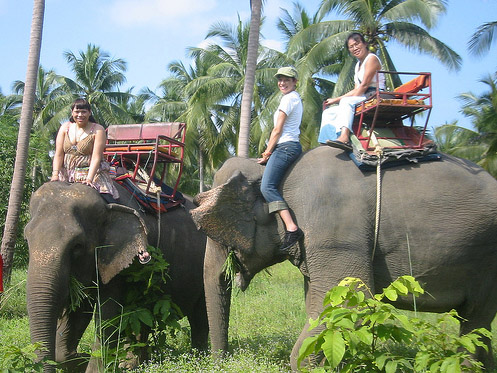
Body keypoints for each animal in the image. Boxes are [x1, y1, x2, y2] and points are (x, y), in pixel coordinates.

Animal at [24, 179, 207, 370]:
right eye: (26, 239)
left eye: (77, 246)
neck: (106, 204)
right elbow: (80, 312)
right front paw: (79, 358)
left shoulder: (120, 262)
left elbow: (108, 317)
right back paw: (133, 364)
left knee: (200, 316)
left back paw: (198, 358)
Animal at [191, 146, 497, 370]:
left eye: (215, 234)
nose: (222, 362)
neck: (272, 173)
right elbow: (321, 305)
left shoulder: (335, 233)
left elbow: (353, 303)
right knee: (478, 326)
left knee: (475, 322)